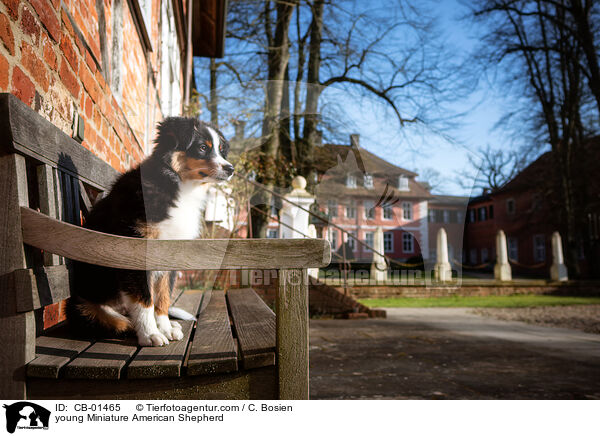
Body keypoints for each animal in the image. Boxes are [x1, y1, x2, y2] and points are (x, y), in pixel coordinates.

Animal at [67, 116, 233, 348]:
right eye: (202, 147)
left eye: (220, 149)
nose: (231, 169)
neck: (179, 186)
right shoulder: (134, 247)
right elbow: (144, 299)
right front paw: (150, 334)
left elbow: (162, 297)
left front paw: (164, 328)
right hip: (85, 307)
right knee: (119, 321)